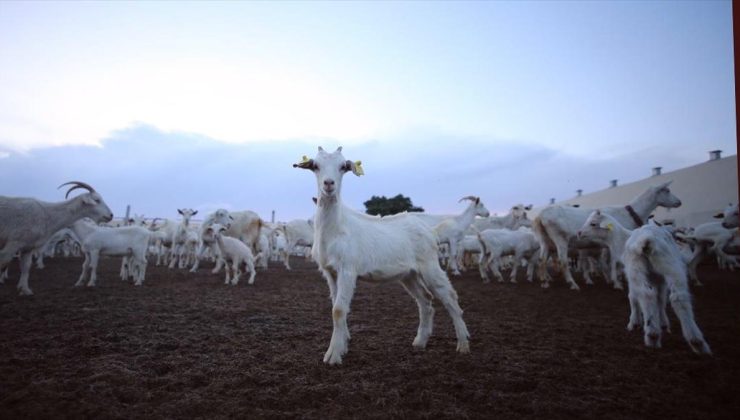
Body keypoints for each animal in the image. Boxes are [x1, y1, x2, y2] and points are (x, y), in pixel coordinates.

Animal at [294, 147, 468, 364]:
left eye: (343, 167)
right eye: (315, 166)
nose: (328, 184)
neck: (336, 227)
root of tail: (431, 231)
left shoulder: (347, 269)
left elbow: (338, 310)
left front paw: (333, 355)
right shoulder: (330, 272)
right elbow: (335, 307)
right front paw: (343, 346)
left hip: (429, 265)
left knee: (449, 296)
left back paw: (463, 344)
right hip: (409, 274)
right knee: (425, 299)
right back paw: (420, 341)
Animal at [532, 182, 684, 290]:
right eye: (667, 190)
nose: (679, 202)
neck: (629, 213)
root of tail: (540, 216)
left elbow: (607, 262)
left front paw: (611, 279)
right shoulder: (614, 242)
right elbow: (613, 262)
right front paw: (616, 281)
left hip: (545, 240)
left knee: (541, 259)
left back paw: (545, 281)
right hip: (560, 238)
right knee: (562, 260)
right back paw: (572, 284)